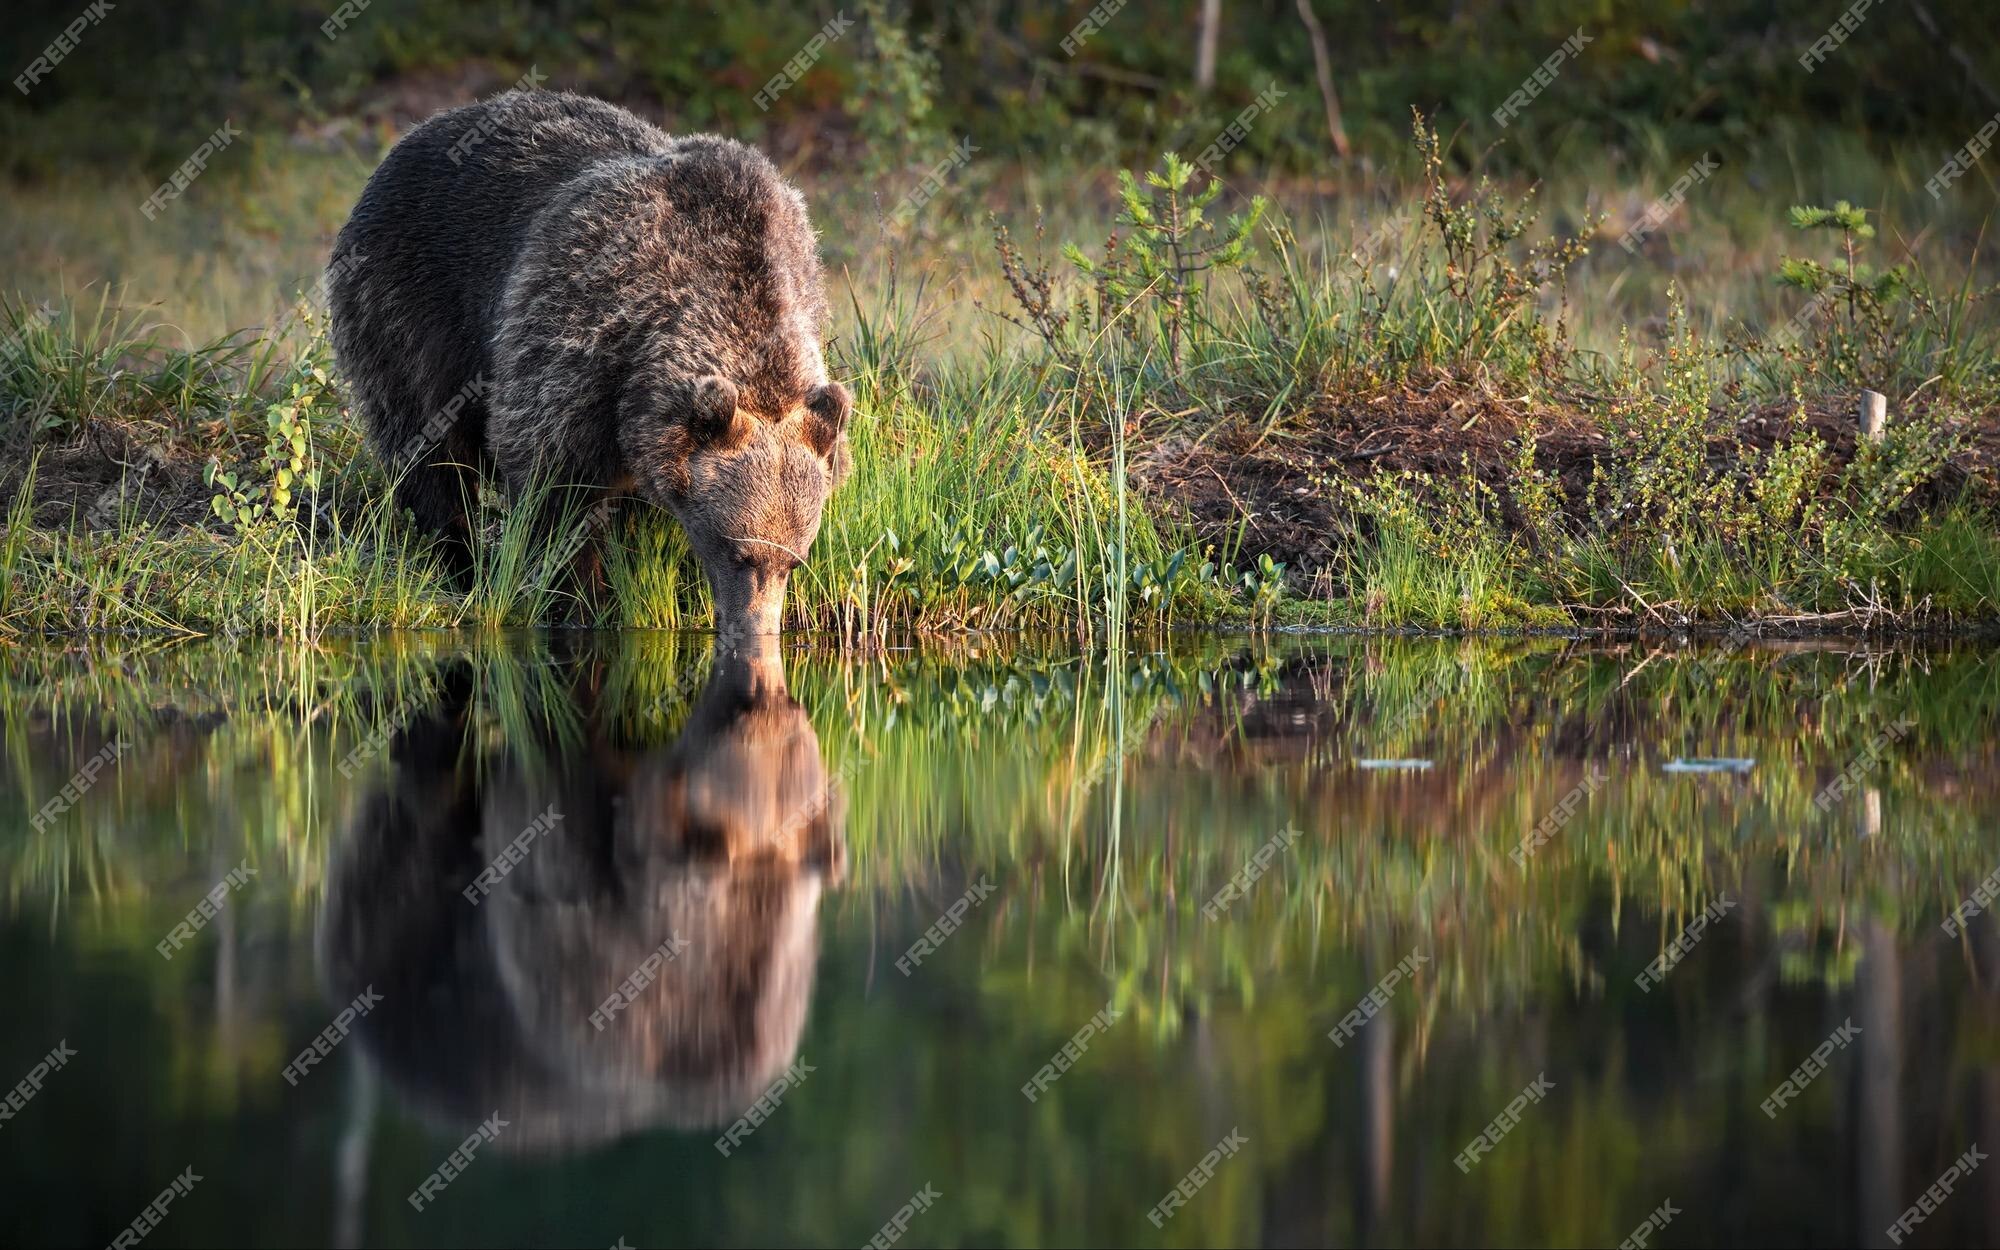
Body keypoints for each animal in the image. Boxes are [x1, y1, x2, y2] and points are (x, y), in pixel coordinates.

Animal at [326, 90, 852, 632]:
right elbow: (555, 484)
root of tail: (421, 129)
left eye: (794, 560)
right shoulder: (579, 334)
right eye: (737, 552)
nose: (754, 628)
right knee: (427, 448)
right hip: (406, 304)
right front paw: (582, 596)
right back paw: (459, 558)